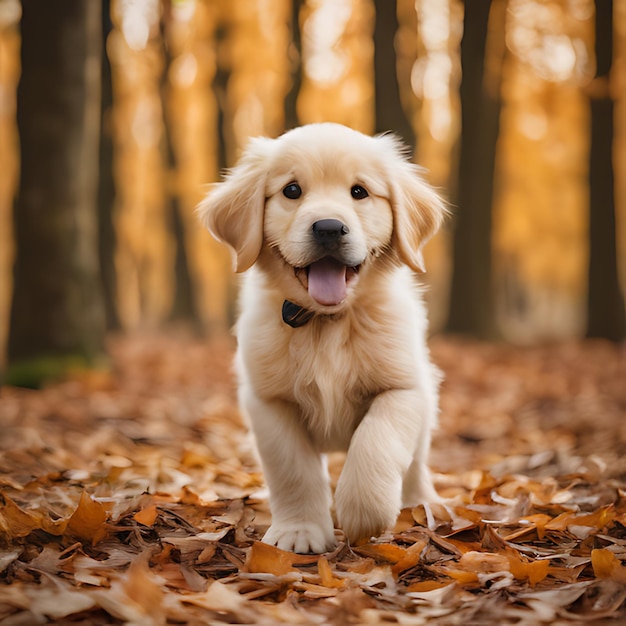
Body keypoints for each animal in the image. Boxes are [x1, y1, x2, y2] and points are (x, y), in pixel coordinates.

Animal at [197, 122, 446, 552]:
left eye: (359, 192)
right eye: (292, 190)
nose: (329, 228)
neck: (326, 323)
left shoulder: (404, 387)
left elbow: (376, 440)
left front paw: (364, 512)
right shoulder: (270, 402)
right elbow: (293, 469)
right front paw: (299, 531)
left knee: (415, 465)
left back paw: (423, 504)